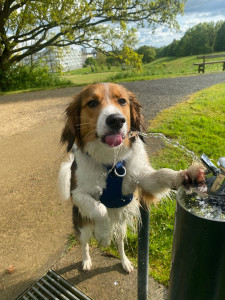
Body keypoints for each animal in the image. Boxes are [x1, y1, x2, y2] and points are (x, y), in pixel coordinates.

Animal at [58, 83, 204, 274]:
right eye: (92, 103)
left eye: (122, 101)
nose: (116, 120)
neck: (112, 162)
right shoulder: (77, 194)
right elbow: (100, 208)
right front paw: (103, 235)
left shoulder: (141, 180)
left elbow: (161, 174)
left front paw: (184, 175)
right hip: (83, 225)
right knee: (85, 244)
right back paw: (87, 260)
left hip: (121, 226)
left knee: (120, 244)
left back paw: (125, 261)